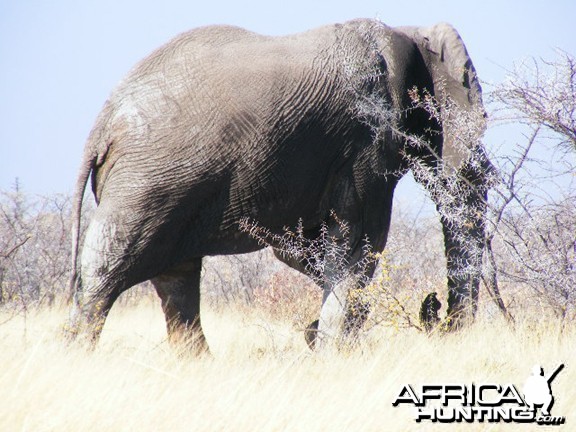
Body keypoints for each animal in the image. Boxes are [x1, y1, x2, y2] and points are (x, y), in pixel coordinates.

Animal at [67, 18, 490, 352]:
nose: (433, 306)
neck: (409, 34)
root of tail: (103, 125)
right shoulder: (369, 139)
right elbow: (360, 244)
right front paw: (332, 352)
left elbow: (308, 249)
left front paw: (320, 338)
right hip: (148, 181)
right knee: (107, 269)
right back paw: (77, 358)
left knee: (177, 278)